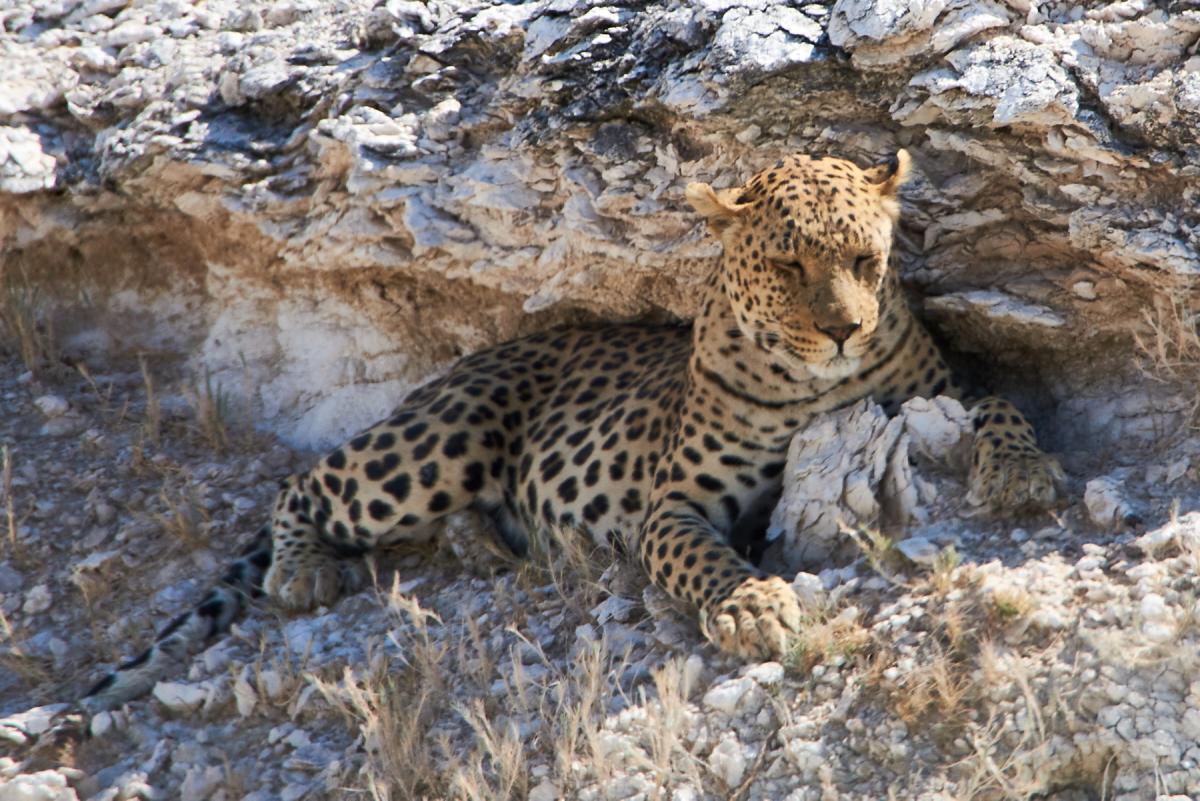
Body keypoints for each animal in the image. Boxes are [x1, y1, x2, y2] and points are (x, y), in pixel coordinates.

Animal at [75, 149, 1062, 712]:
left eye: (864, 258)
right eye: (788, 266)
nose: (844, 329)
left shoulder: (942, 391)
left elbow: (1004, 405)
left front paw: (1021, 472)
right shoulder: (674, 506)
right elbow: (704, 557)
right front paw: (751, 603)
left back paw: (482, 546)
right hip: (436, 443)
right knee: (306, 481)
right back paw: (304, 568)